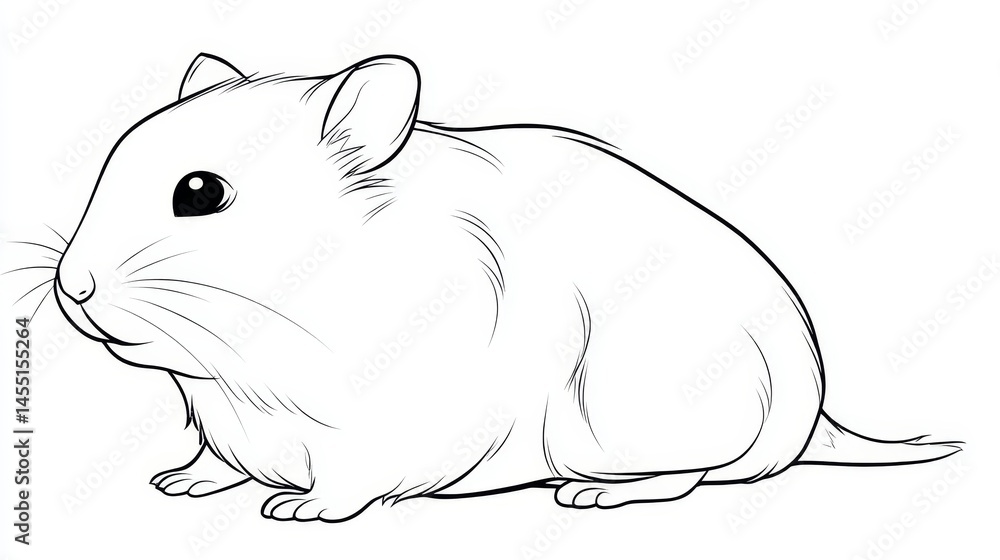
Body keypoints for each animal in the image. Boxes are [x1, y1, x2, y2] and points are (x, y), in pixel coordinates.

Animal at [53, 53, 961, 522]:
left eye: (201, 193)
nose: (71, 288)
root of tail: (808, 411)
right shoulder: (229, 422)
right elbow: (220, 461)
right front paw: (181, 483)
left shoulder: (382, 428)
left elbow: (347, 483)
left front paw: (299, 512)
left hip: (622, 426)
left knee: (697, 475)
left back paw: (589, 496)